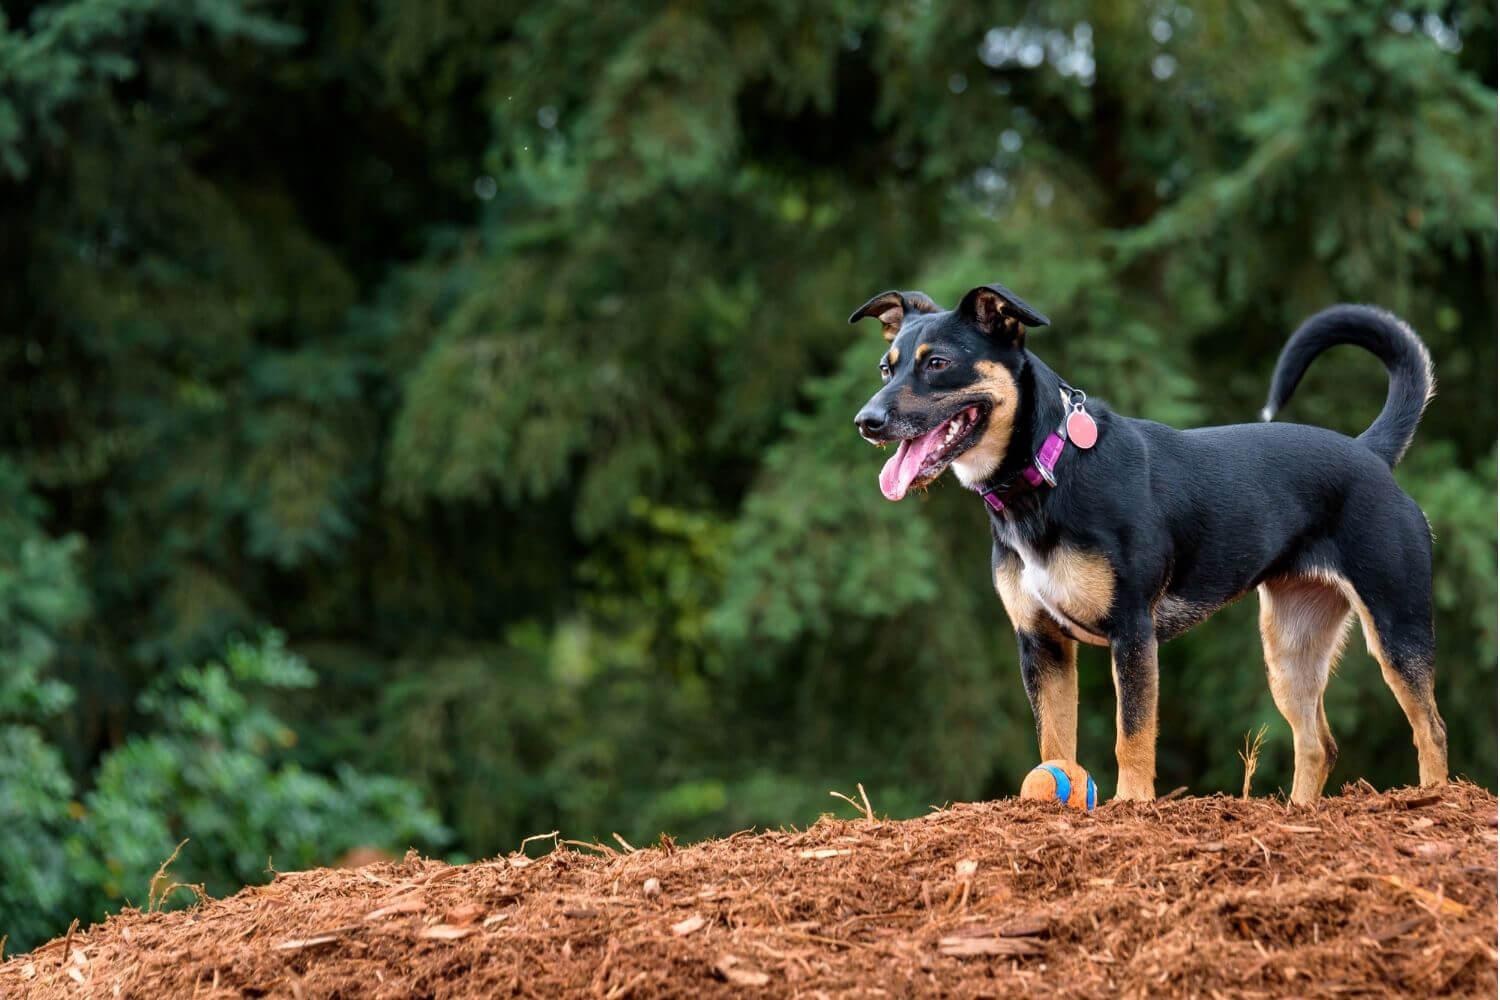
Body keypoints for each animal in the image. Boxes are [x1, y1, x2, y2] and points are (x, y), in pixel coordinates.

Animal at [852, 281, 1446, 803]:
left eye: (937, 363)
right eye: (886, 367)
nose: (867, 421)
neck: (1048, 469)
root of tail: (1369, 453)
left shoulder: (1132, 630)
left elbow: (1131, 734)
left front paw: (1131, 802)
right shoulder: (1041, 642)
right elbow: (1054, 741)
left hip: (1396, 625)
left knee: (1430, 729)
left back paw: (1434, 799)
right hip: (1289, 644)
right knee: (1318, 743)